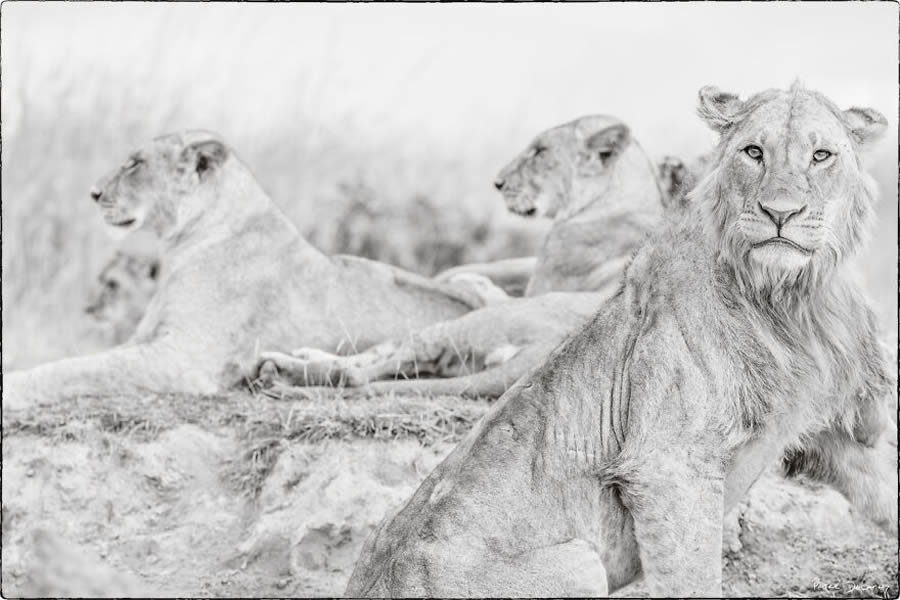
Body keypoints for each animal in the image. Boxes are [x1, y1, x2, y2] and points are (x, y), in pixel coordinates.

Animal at [1, 133, 492, 410]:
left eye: (135, 163)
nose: (93, 192)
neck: (182, 245)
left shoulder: (183, 357)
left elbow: (76, 369)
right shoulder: (145, 339)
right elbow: (78, 362)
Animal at [256, 117, 664, 398]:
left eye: (540, 152)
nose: (498, 183)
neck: (626, 196)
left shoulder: (544, 278)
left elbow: (485, 286)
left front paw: (466, 280)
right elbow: (496, 268)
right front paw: (462, 275)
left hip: (470, 326)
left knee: (364, 369)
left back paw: (282, 368)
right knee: (385, 361)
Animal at [342, 83, 896, 596]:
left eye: (821, 155)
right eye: (753, 152)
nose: (780, 212)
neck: (791, 299)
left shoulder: (840, 434)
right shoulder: (669, 466)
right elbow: (693, 577)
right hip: (581, 560)